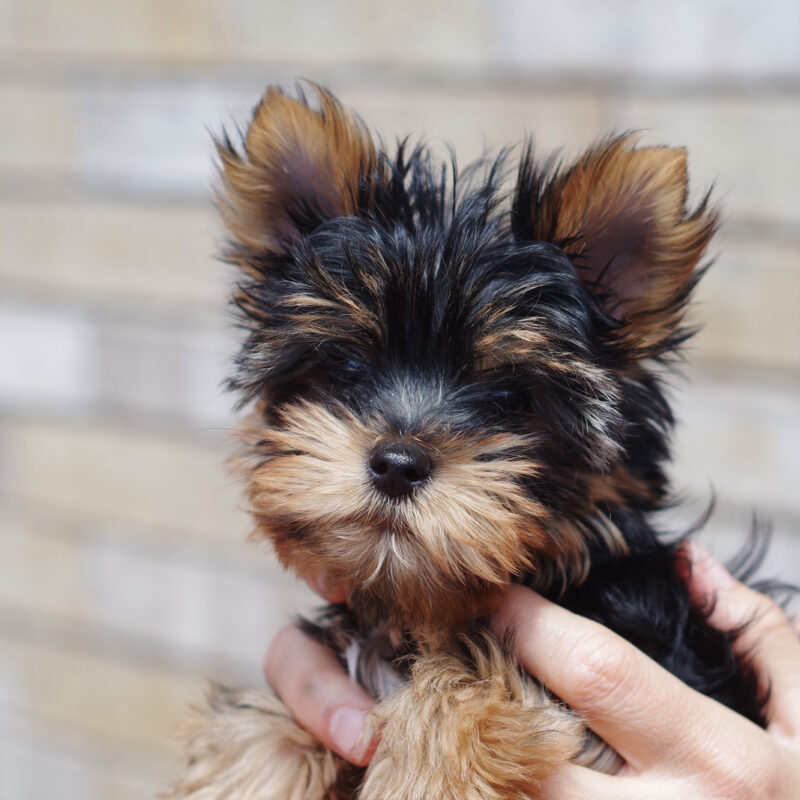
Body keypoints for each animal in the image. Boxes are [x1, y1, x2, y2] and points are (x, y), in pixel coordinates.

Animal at [170, 87, 776, 800]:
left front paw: (425, 766)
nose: (397, 463)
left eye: (512, 397)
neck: (419, 608)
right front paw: (250, 765)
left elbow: (471, 672)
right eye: (345, 367)